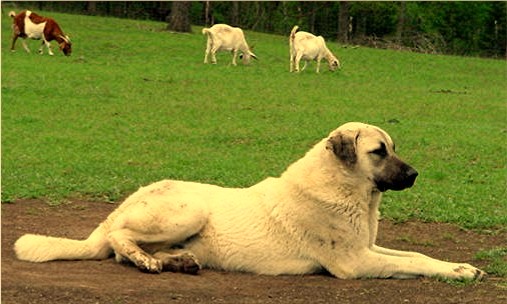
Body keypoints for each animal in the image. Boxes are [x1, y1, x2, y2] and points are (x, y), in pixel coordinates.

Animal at [13, 122, 486, 280]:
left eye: (394, 148)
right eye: (379, 151)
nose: (415, 175)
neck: (344, 187)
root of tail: (119, 207)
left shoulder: (368, 247)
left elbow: (416, 254)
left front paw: (463, 267)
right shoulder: (356, 262)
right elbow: (416, 264)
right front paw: (457, 274)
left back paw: (179, 261)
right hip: (190, 209)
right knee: (119, 241)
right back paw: (147, 261)